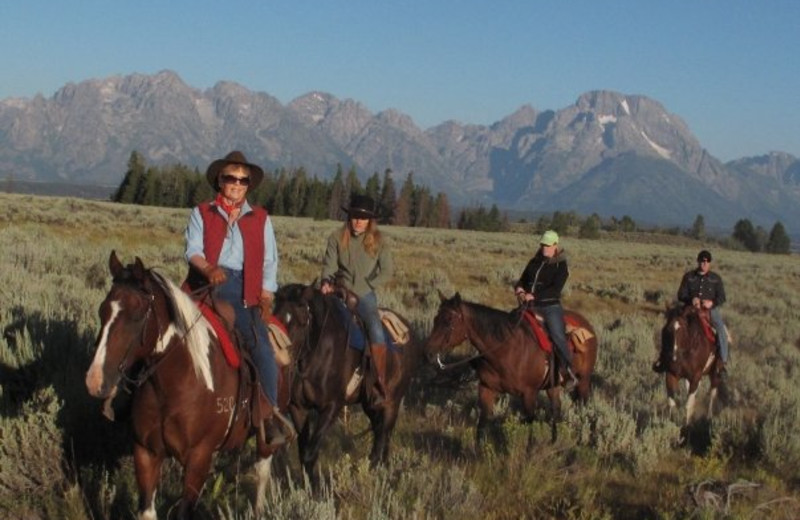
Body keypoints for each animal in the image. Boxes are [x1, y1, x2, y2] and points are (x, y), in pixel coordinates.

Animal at [83, 251, 284, 516]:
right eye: (102, 311)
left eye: (137, 314)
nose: (95, 380)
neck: (171, 387)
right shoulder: (145, 453)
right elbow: (147, 511)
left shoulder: (198, 459)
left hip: (266, 432)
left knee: (262, 469)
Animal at [274, 282, 424, 490]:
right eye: (274, 315)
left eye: (301, 320)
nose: (280, 359)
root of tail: (411, 332)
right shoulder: (298, 408)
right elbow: (304, 453)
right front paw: (306, 488)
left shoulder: (331, 407)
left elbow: (311, 452)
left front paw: (316, 490)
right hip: (370, 405)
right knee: (380, 432)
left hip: (392, 403)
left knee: (384, 435)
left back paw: (376, 470)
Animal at [424, 292, 592, 446]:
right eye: (435, 319)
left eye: (448, 321)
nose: (429, 353)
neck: (506, 350)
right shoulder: (486, 388)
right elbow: (482, 423)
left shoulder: (529, 393)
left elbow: (529, 426)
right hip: (553, 385)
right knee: (556, 409)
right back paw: (554, 442)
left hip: (583, 381)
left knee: (582, 410)